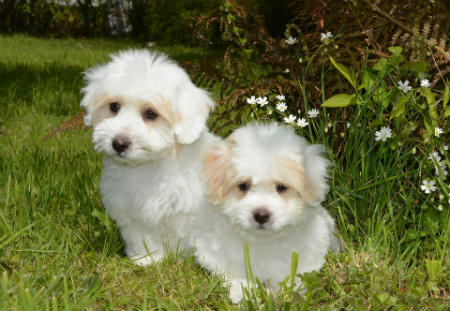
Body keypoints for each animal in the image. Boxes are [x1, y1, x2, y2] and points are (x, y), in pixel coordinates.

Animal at [81, 50, 218, 266]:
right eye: (114, 106)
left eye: (151, 114)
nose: (119, 143)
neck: (149, 164)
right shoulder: (132, 210)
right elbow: (141, 235)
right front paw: (146, 258)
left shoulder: (187, 211)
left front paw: (181, 259)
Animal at [192, 123, 340, 304]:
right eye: (244, 186)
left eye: (281, 187)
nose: (261, 215)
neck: (263, 241)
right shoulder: (215, 255)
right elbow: (233, 274)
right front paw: (243, 292)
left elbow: (296, 278)